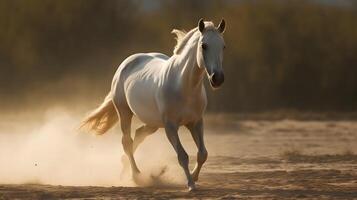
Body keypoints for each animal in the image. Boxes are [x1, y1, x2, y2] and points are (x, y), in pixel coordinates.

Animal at [80, 18, 225, 191]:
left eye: (223, 46)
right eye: (204, 45)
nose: (217, 78)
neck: (184, 86)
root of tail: (126, 63)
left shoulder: (195, 122)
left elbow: (203, 154)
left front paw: (194, 178)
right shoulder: (170, 126)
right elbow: (182, 156)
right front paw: (190, 184)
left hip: (153, 123)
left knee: (139, 135)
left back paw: (125, 167)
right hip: (125, 112)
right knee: (127, 142)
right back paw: (136, 176)